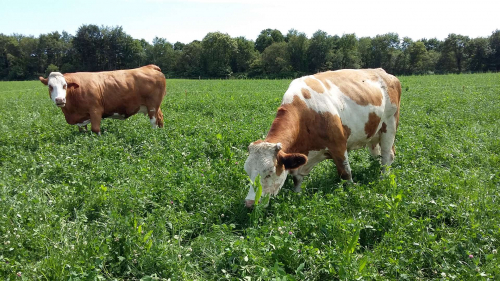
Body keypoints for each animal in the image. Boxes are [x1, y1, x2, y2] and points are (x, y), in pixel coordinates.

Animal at [39, 64, 167, 133]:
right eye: (50, 86)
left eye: (64, 85)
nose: (60, 100)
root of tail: (149, 67)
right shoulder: (81, 118)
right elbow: (82, 131)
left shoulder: (95, 110)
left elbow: (95, 129)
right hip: (155, 106)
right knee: (160, 118)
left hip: (152, 107)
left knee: (154, 122)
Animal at [243, 68, 402, 207]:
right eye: (248, 172)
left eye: (269, 173)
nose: (250, 203)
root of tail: (383, 72)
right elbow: (297, 178)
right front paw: (297, 194)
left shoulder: (338, 146)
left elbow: (346, 174)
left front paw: (351, 193)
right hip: (373, 133)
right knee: (378, 154)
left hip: (390, 125)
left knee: (387, 156)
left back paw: (383, 178)